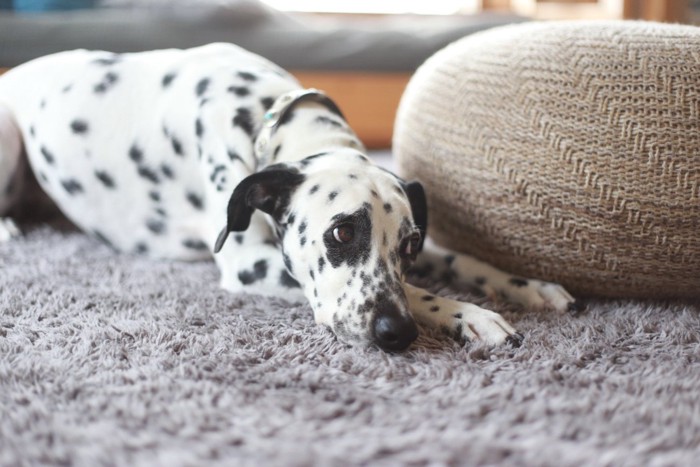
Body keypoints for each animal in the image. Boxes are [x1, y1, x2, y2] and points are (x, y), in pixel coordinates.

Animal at [0, 43, 580, 352]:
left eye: (410, 246)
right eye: (341, 232)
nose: (395, 333)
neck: (265, 114)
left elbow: (459, 258)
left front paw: (526, 287)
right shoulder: (248, 262)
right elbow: (419, 291)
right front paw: (471, 314)